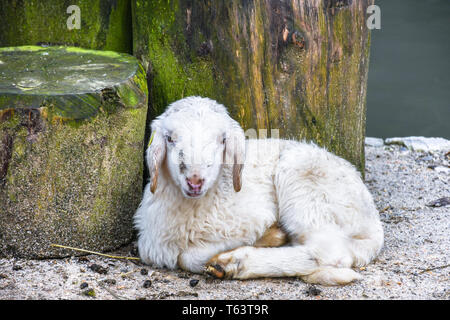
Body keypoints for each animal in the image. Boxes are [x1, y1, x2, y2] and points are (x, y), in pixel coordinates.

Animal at [134, 95, 384, 284]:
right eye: (169, 138)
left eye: (222, 139)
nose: (195, 181)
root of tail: (374, 224)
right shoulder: (152, 245)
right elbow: (184, 256)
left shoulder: (255, 216)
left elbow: (187, 256)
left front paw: (268, 237)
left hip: (305, 184)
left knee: (328, 251)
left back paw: (233, 263)